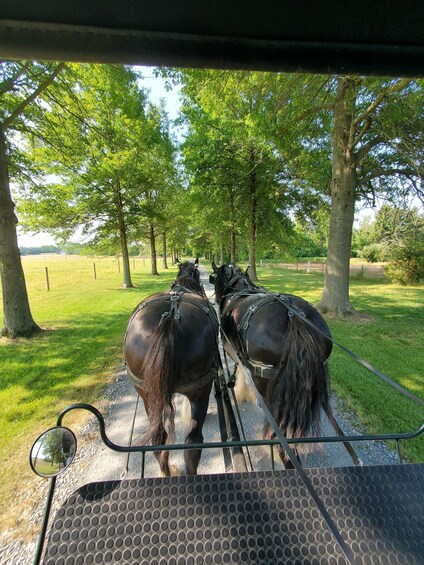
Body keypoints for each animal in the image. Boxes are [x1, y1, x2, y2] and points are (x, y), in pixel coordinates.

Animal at [210, 262, 332, 464]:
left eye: (216, 278)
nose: (218, 299)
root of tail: (294, 317)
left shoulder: (234, 351)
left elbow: (240, 370)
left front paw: (240, 391)